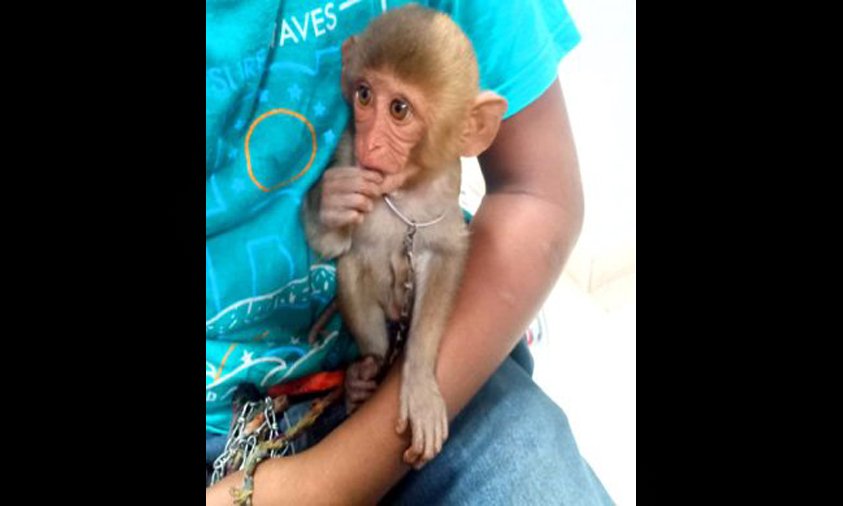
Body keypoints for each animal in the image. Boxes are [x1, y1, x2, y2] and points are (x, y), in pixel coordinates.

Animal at [302, 4, 507, 469]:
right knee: (352, 266)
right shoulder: (346, 153)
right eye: (363, 95)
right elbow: (332, 245)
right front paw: (332, 199)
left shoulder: (444, 201)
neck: (403, 192)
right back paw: (362, 379)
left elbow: (447, 257)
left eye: (399, 109)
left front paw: (418, 384)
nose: (371, 144)